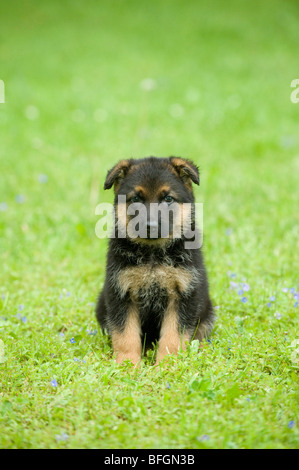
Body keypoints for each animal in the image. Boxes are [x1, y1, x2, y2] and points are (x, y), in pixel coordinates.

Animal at [95, 156, 214, 366]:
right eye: (136, 199)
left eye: (168, 199)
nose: (150, 226)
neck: (152, 255)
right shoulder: (121, 293)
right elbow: (125, 335)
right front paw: (128, 365)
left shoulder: (183, 294)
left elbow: (173, 336)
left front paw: (168, 365)